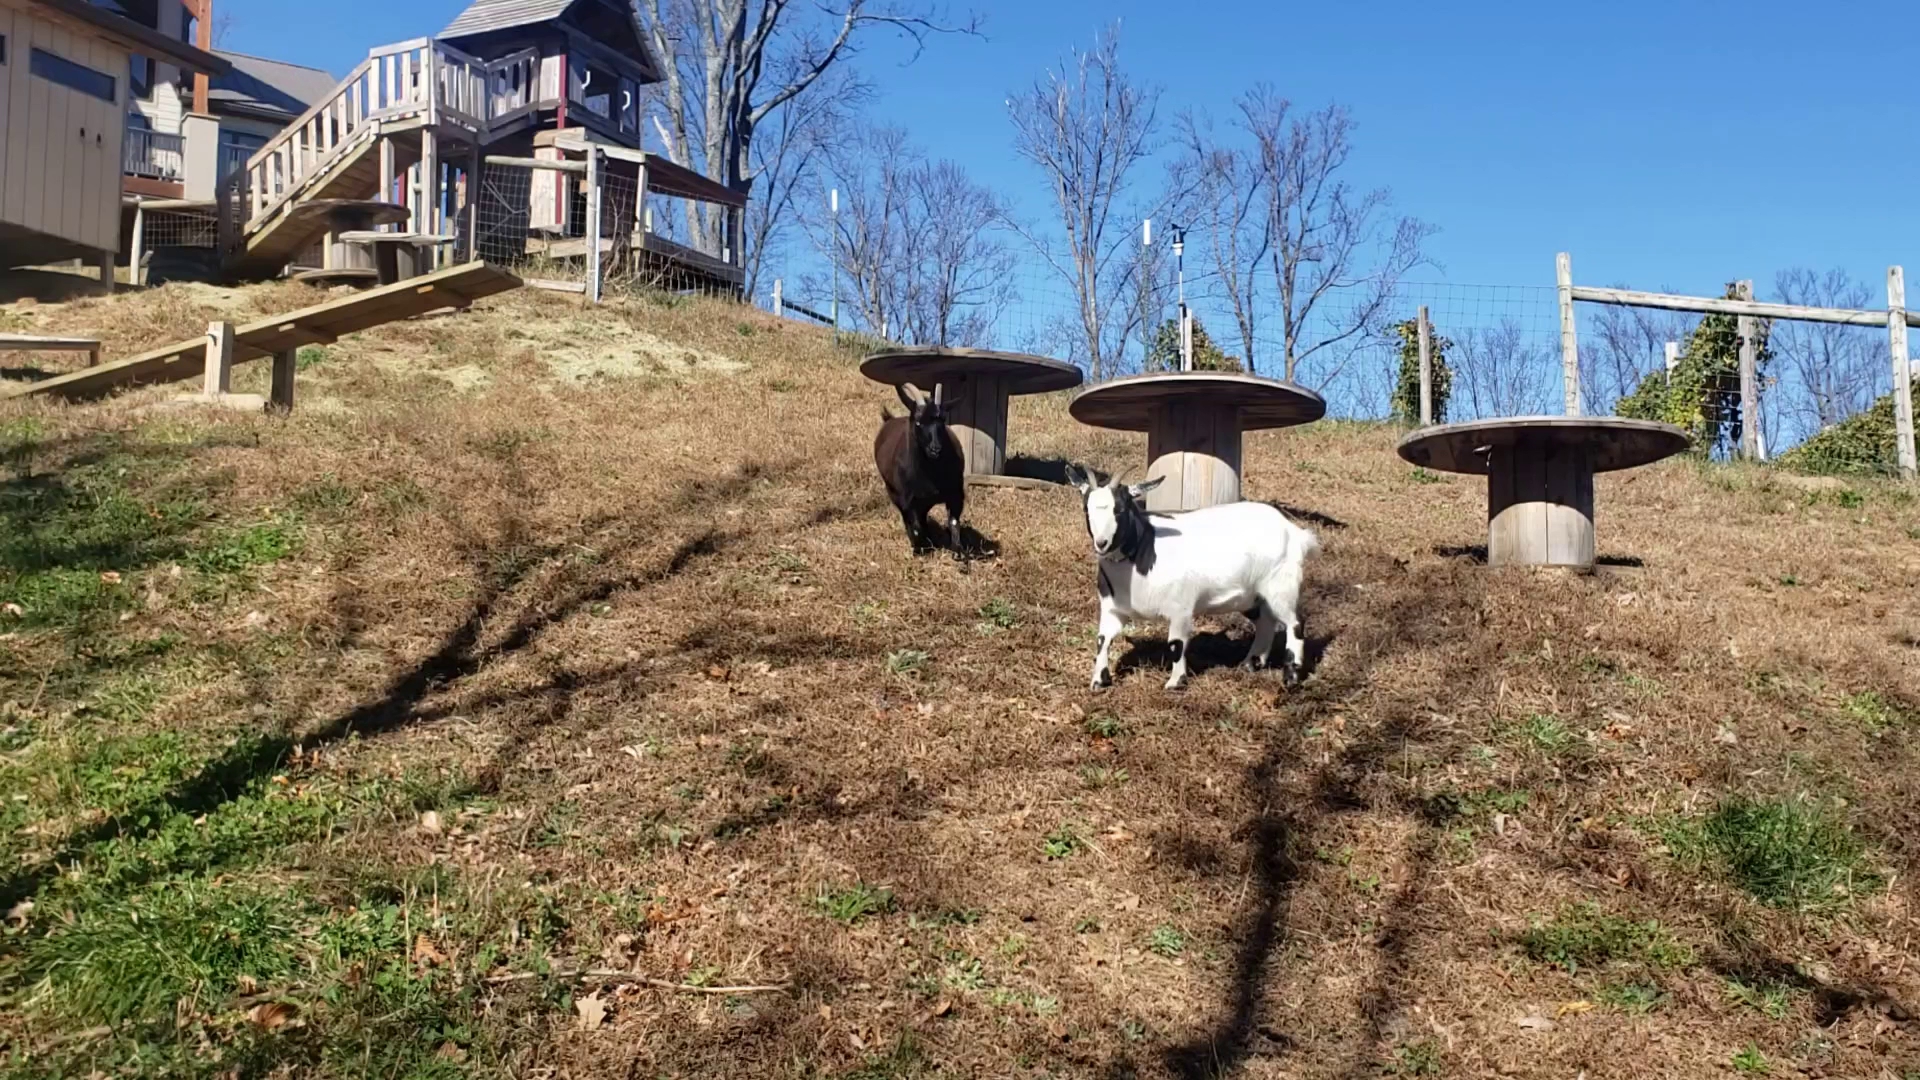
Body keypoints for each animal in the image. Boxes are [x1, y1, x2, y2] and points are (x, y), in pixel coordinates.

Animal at [874, 382, 967, 559]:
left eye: (942, 421)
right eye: (918, 422)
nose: (935, 449)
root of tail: (889, 420)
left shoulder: (955, 493)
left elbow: (953, 521)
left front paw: (958, 552)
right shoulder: (907, 498)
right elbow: (915, 526)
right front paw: (920, 548)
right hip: (893, 491)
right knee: (909, 519)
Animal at [1064, 465, 1320, 691]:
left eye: (1120, 509)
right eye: (1086, 510)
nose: (1102, 543)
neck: (1146, 548)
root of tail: (1295, 532)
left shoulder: (1181, 608)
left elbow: (1176, 644)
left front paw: (1175, 682)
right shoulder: (1112, 608)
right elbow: (1102, 640)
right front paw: (1098, 681)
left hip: (1281, 584)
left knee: (1295, 623)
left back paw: (1291, 677)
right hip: (1252, 594)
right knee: (1266, 621)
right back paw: (1251, 663)